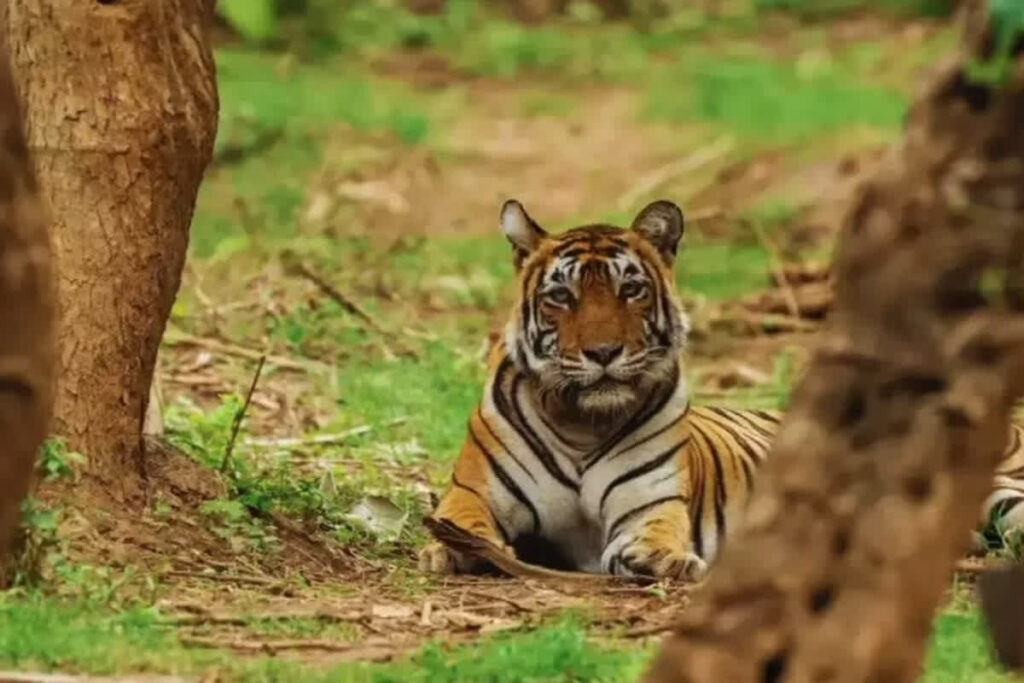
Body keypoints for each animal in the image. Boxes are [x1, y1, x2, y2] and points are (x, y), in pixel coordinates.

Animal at [417, 200, 1024, 581]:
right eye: (561, 297)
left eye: (630, 290)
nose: (603, 352)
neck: (581, 424)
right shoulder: (472, 493)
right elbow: (462, 523)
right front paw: (451, 551)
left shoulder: (650, 503)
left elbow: (653, 532)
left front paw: (658, 558)